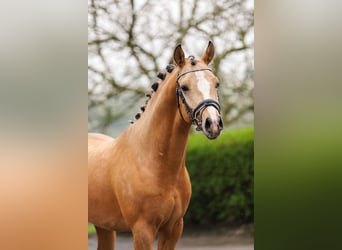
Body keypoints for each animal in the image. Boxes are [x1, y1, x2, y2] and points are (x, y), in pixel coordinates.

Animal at [88, 41, 223, 250]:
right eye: (184, 87)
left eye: (216, 83)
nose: (213, 124)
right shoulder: (143, 230)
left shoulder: (173, 228)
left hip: (104, 226)